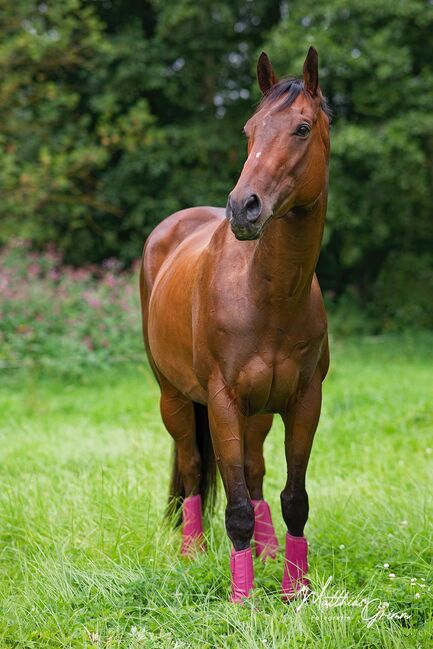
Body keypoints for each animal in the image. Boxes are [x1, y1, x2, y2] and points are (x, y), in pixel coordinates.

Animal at [140, 46, 331, 602]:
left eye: (302, 128)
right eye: (249, 130)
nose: (244, 209)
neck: (266, 296)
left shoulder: (304, 402)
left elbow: (294, 498)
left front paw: (295, 591)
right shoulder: (222, 402)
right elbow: (237, 505)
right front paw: (242, 600)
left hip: (258, 411)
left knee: (255, 468)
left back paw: (266, 554)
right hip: (175, 398)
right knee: (192, 467)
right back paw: (193, 552)